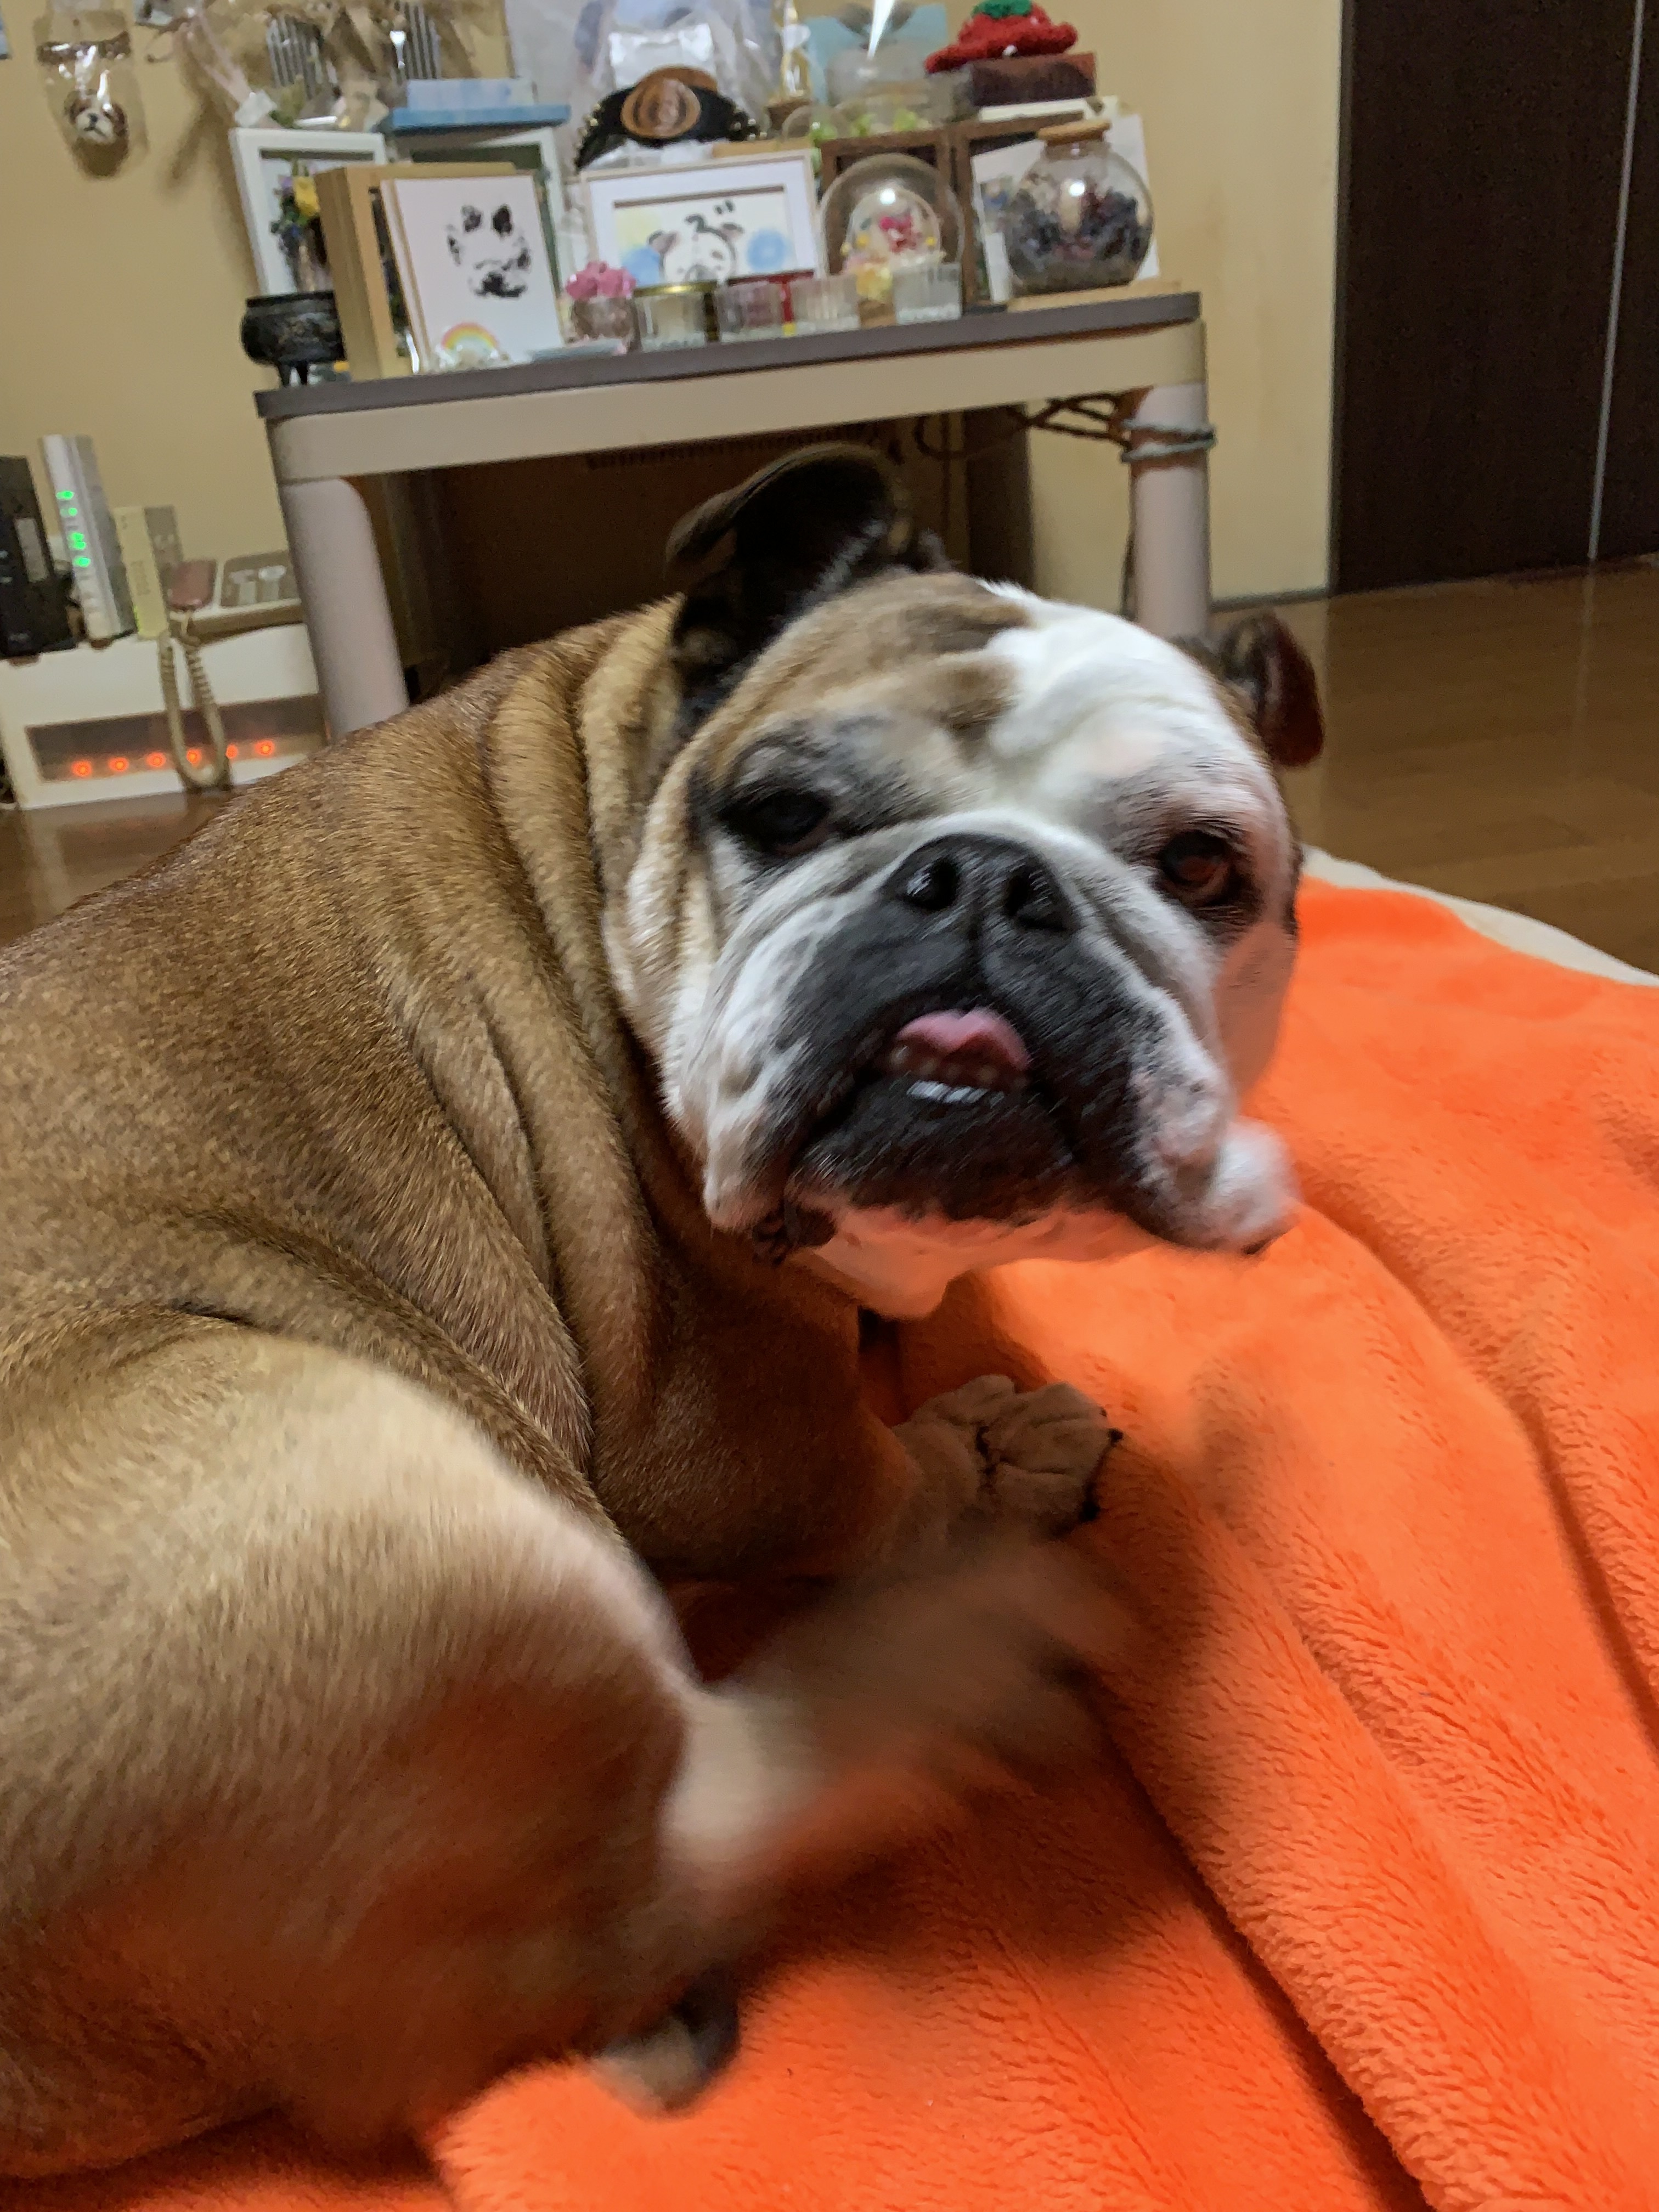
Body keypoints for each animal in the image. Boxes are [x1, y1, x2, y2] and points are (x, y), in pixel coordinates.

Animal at [0, 446, 1322, 2176]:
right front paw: (982, 1456)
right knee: (616, 1913)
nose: (988, 878)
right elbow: (877, 1477)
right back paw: (935, 1672)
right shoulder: (735, 1430)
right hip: (352, 1473)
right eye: (781, 814)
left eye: (1202, 868)